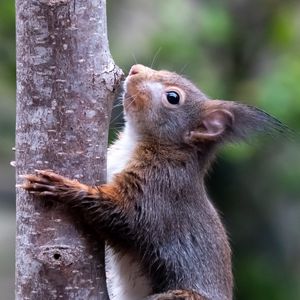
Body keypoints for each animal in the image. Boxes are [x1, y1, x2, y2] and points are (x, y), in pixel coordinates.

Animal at [19, 64, 286, 298]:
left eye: (173, 97)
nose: (135, 69)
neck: (138, 141)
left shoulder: (158, 188)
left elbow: (122, 216)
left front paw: (60, 187)